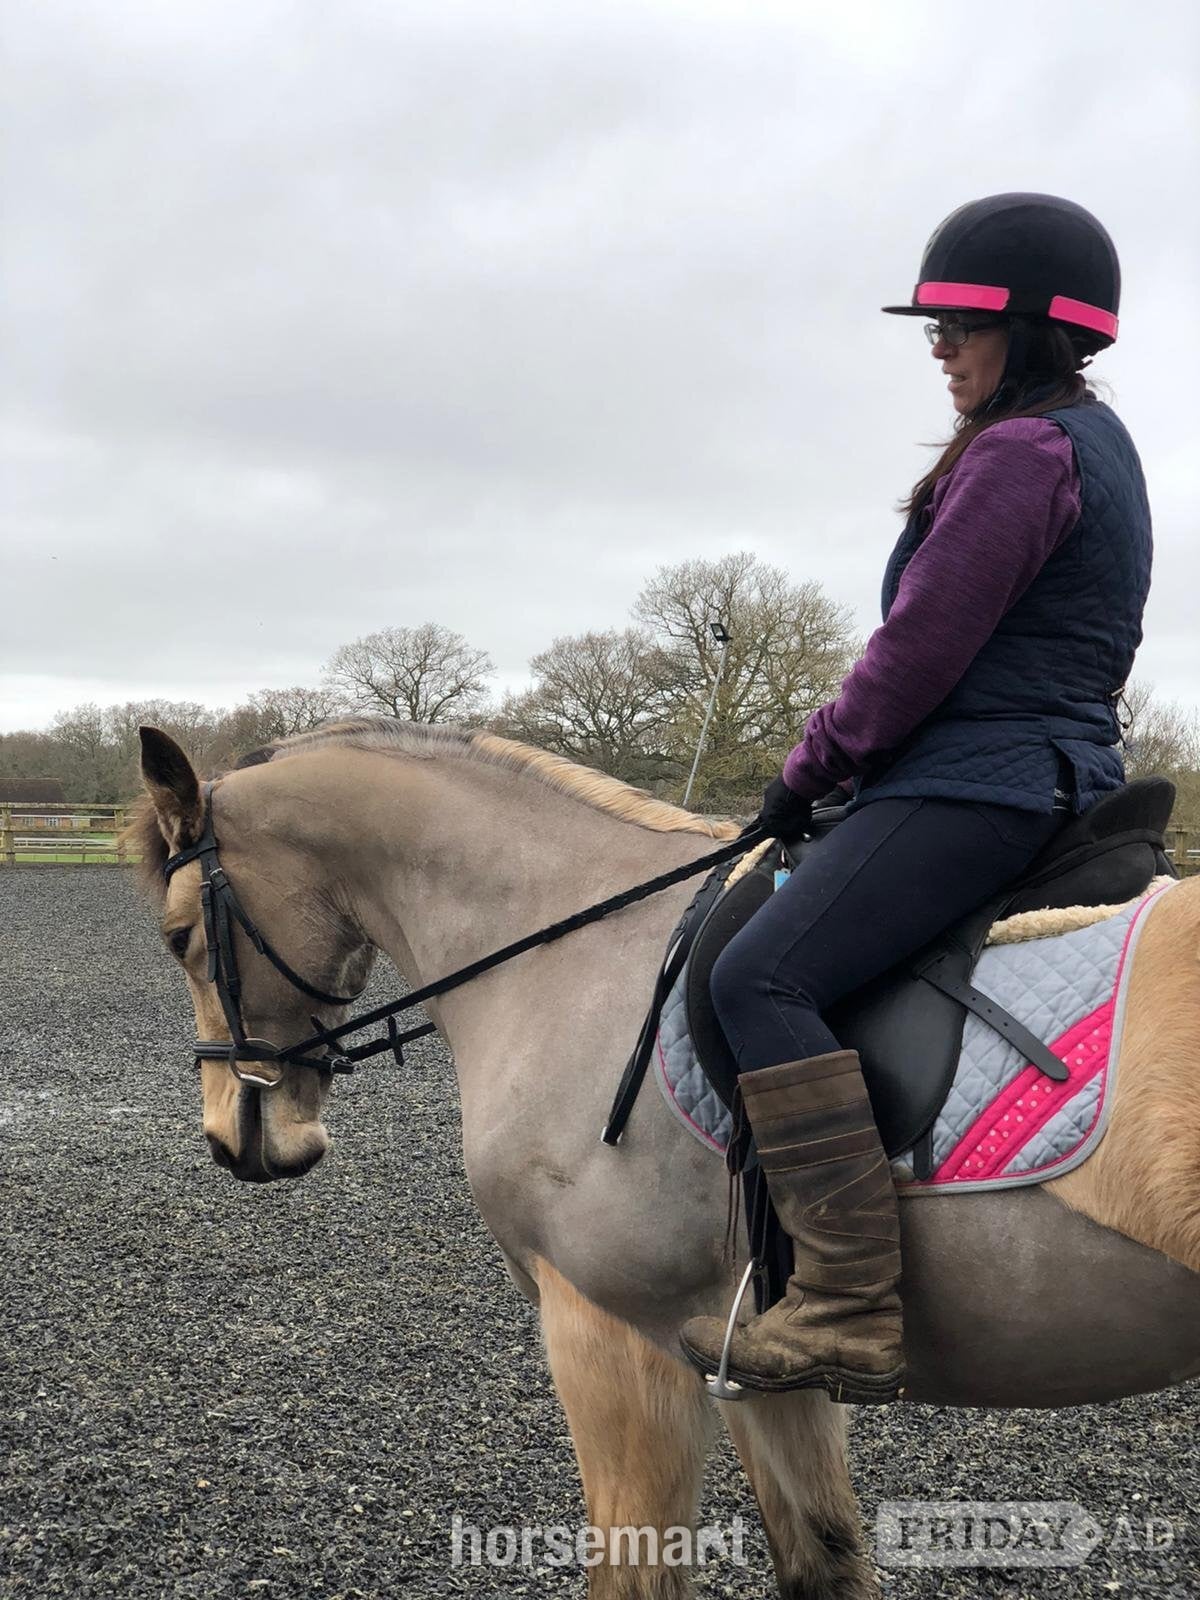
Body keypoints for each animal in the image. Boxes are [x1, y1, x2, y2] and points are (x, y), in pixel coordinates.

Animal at [130, 718, 1200, 1600]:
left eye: (179, 936)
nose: (235, 1141)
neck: (575, 951)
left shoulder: (609, 1332)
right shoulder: (756, 1355)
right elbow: (824, 1563)